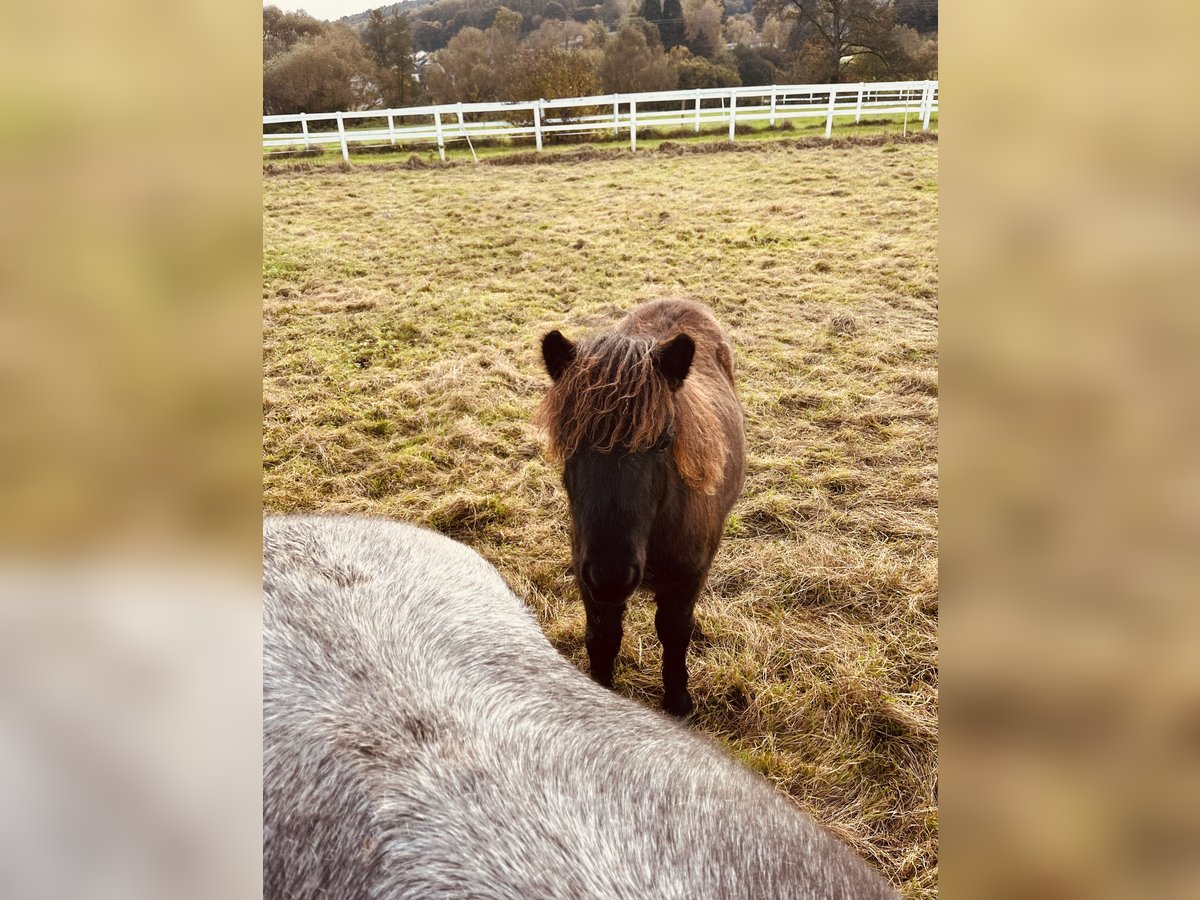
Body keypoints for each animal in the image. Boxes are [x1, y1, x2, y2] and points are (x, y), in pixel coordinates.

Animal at [540, 303, 744, 720]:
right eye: (569, 442)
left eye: (663, 441)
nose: (612, 575)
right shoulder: (588, 580)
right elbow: (603, 637)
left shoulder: (688, 578)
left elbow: (674, 632)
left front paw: (678, 702)